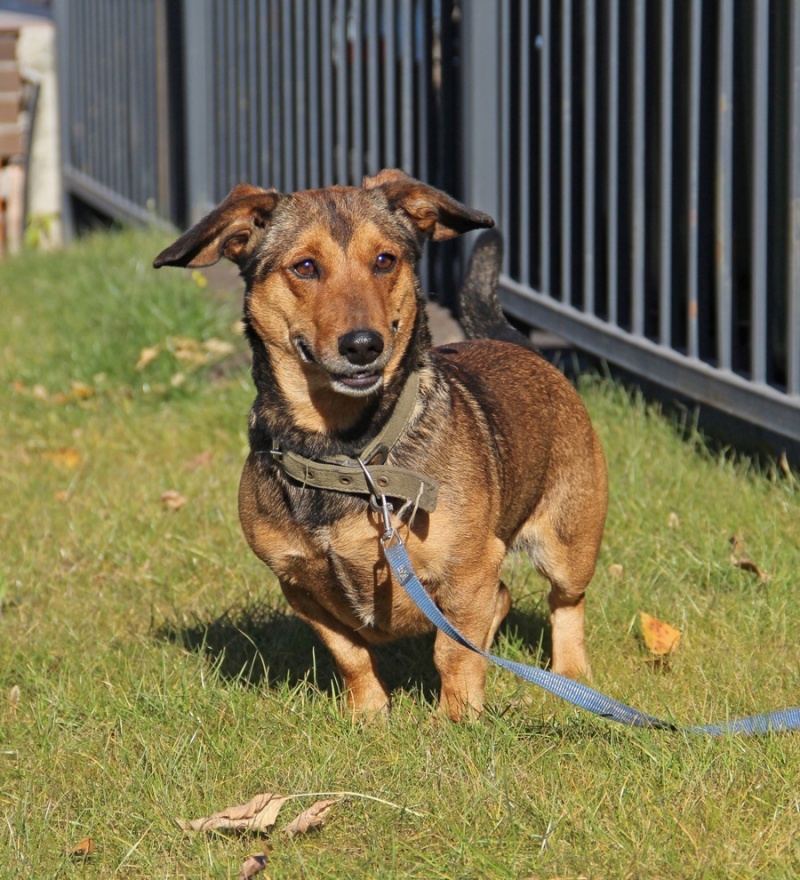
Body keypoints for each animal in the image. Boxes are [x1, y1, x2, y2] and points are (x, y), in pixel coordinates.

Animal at [155, 168, 608, 720]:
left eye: (385, 260)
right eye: (305, 267)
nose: (363, 345)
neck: (348, 451)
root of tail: (513, 341)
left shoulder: (469, 568)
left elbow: (453, 652)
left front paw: (458, 719)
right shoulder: (298, 584)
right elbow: (349, 653)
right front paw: (369, 715)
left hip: (568, 541)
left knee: (565, 603)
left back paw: (571, 675)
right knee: (501, 599)